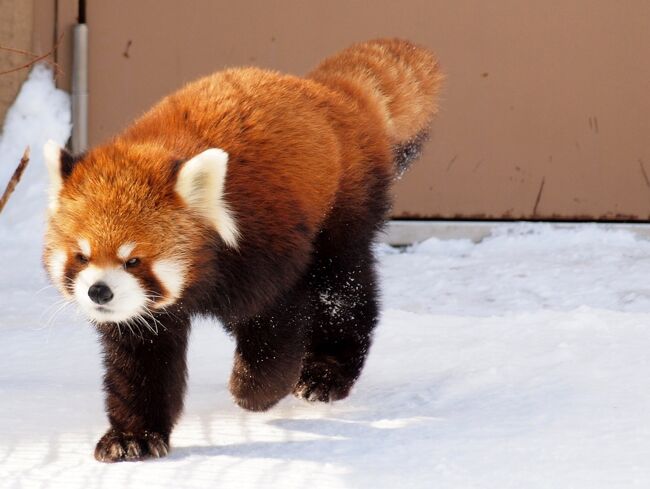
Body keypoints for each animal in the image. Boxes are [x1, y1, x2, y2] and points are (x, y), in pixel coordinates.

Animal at [43, 39, 442, 462]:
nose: (99, 292)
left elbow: (277, 321)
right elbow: (139, 363)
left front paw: (255, 390)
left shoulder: (262, 248)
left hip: (343, 206)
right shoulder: (143, 315)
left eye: (132, 260)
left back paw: (325, 373)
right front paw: (133, 436)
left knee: (343, 290)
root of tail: (330, 92)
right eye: (81, 256)